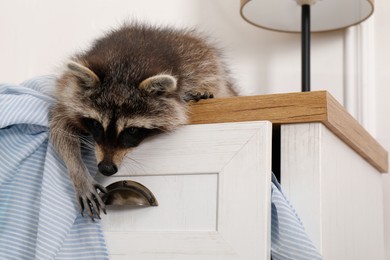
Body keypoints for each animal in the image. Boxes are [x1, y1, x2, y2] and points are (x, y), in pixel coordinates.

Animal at [49, 23, 238, 220]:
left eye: (131, 130)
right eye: (96, 124)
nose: (106, 169)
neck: (125, 65)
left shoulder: (195, 66)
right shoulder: (69, 89)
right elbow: (59, 126)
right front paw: (78, 172)